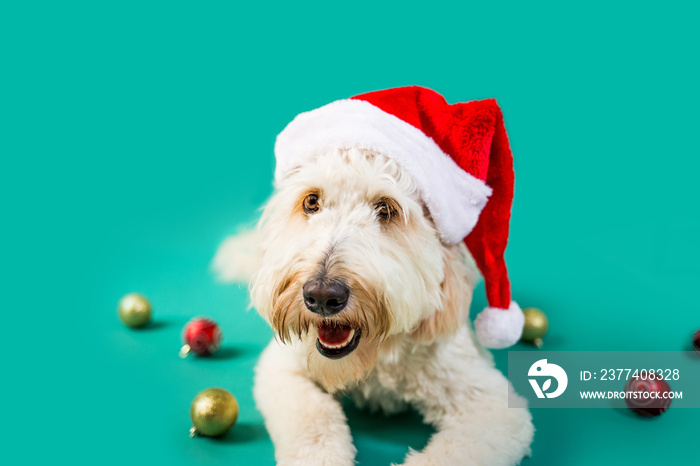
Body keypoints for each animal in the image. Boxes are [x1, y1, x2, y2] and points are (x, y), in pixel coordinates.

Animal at [213, 86, 536, 462]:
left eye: (386, 208)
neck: (373, 356)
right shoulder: (283, 372)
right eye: (311, 202)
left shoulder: (490, 405)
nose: (322, 295)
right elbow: (313, 423)